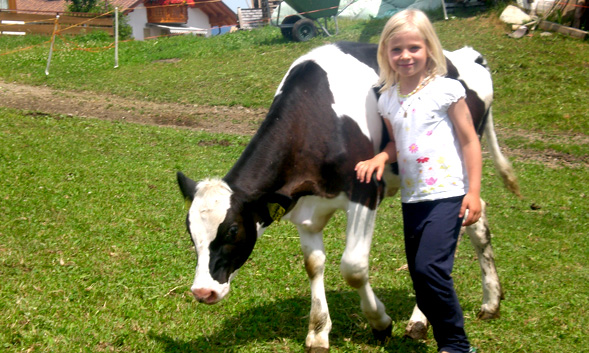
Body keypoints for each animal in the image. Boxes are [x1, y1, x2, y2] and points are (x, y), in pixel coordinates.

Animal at [177, 40, 516, 350]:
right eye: (190, 233)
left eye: (233, 230)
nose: (203, 292)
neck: (315, 114)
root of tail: (467, 54)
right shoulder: (302, 208)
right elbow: (313, 264)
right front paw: (318, 331)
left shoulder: (365, 192)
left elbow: (353, 267)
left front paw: (380, 322)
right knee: (475, 220)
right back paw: (489, 302)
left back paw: (424, 318)